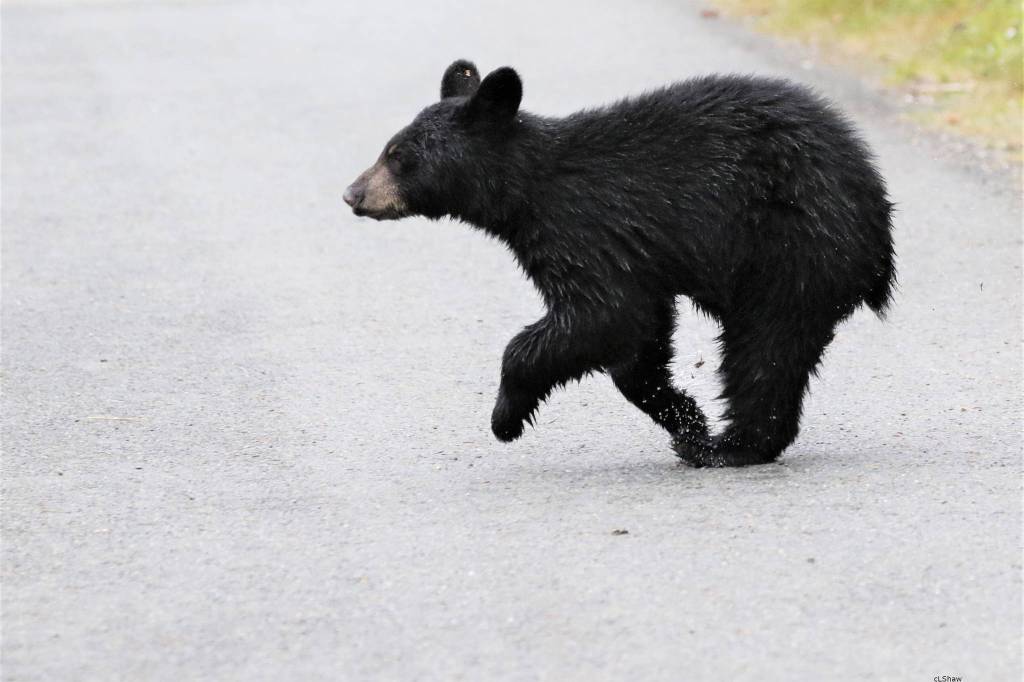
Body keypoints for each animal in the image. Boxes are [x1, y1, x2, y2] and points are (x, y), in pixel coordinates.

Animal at [344, 60, 896, 467]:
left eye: (399, 155)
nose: (352, 193)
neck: (528, 189)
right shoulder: (635, 258)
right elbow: (640, 339)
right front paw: (684, 417)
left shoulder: (584, 229)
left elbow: (603, 314)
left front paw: (505, 418)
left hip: (789, 250)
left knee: (765, 349)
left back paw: (730, 448)